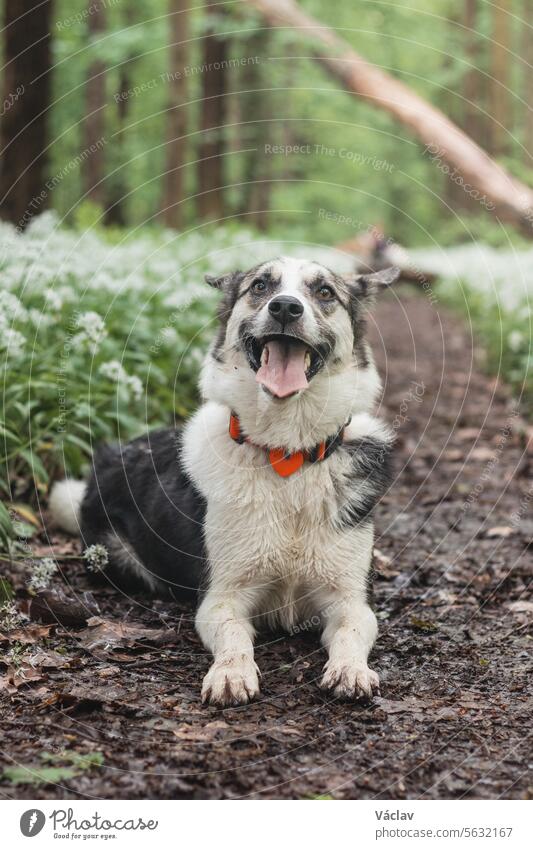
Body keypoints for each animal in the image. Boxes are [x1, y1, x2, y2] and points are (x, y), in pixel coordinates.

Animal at [51, 258, 400, 708]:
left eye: (324, 292)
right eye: (260, 286)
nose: (285, 307)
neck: (285, 452)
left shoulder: (350, 600)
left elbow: (352, 633)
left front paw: (351, 669)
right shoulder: (222, 598)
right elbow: (236, 638)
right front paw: (231, 674)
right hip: (113, 556)